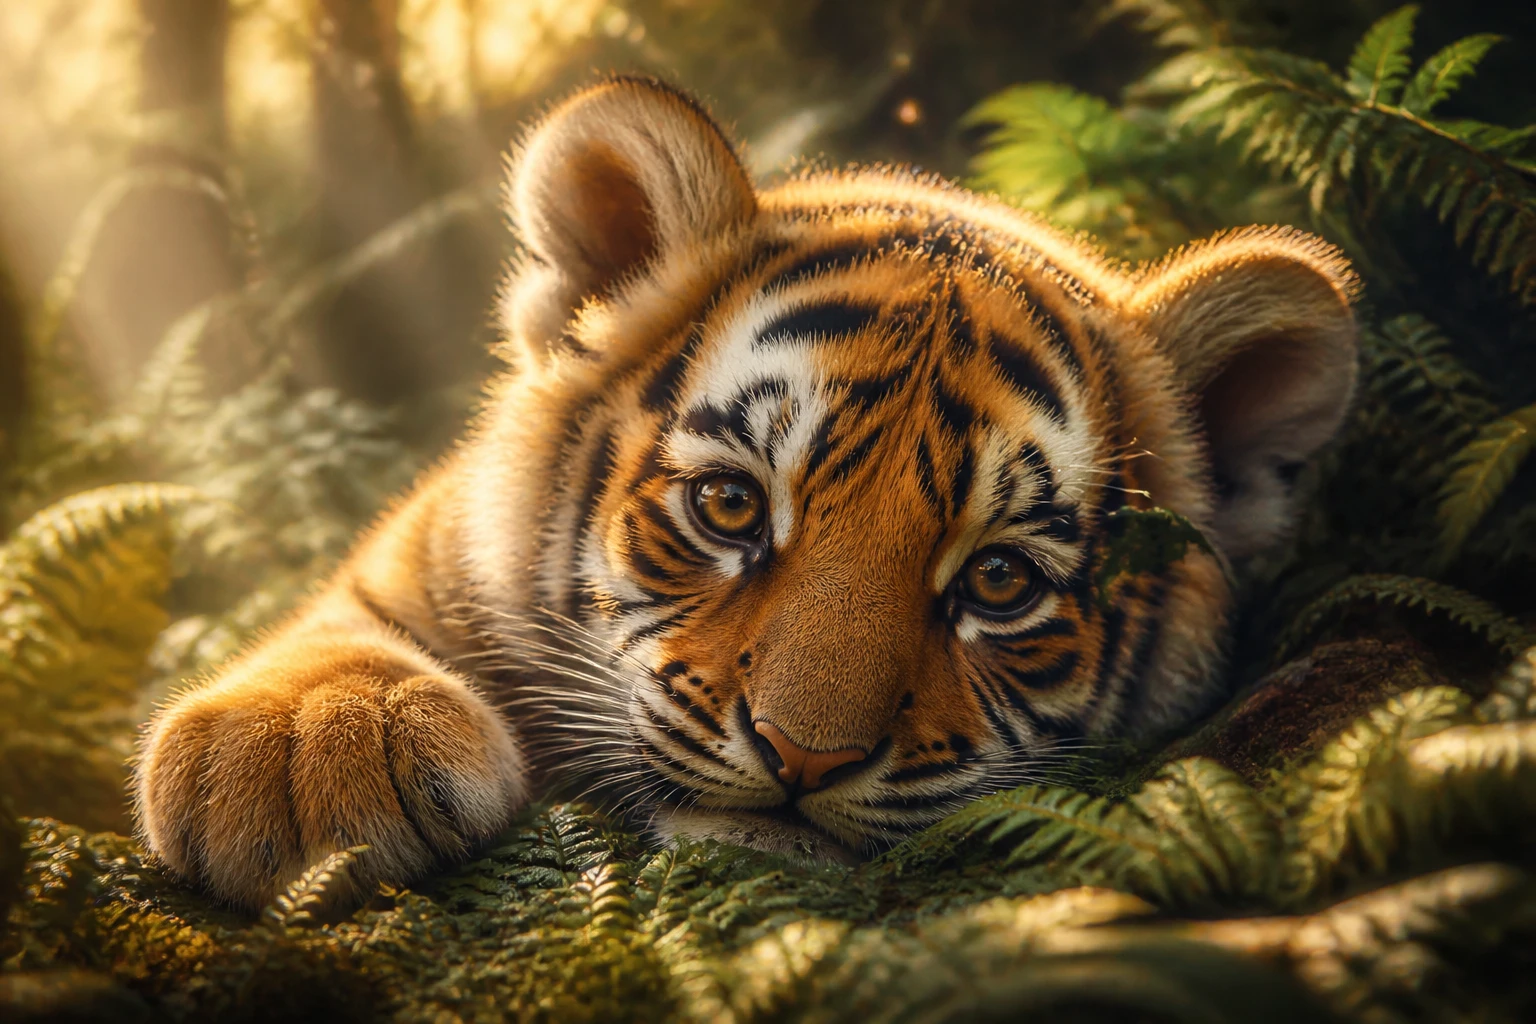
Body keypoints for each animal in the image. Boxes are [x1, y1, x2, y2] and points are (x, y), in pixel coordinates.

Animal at [133, 77, 1358, 910]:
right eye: (728, 507)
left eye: (1001, 581)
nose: (804, 757)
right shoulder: (410, 561)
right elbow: (334, 629)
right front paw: (306, 753)